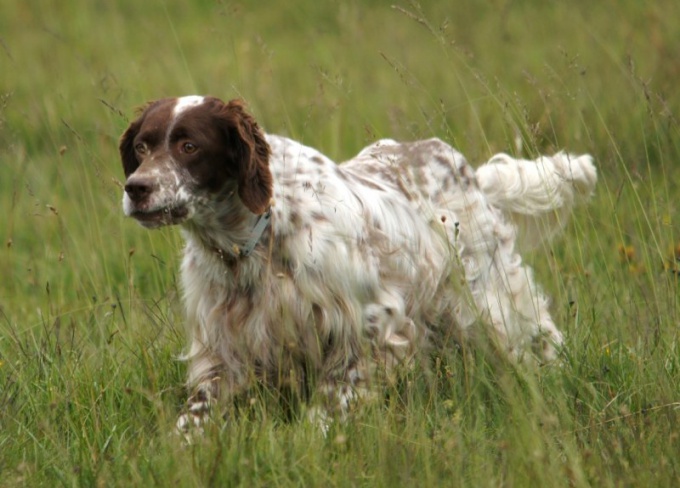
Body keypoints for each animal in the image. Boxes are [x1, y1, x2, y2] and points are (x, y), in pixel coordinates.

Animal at [119, 94, 596, 430]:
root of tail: (469, 173)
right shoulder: (223, 344)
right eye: (141, 147)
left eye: (189, 146)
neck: (257, 235)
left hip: (490, 301)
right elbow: (194, 416)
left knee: (539, 335)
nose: (136, 188)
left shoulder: (369, 324)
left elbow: (328, 407)